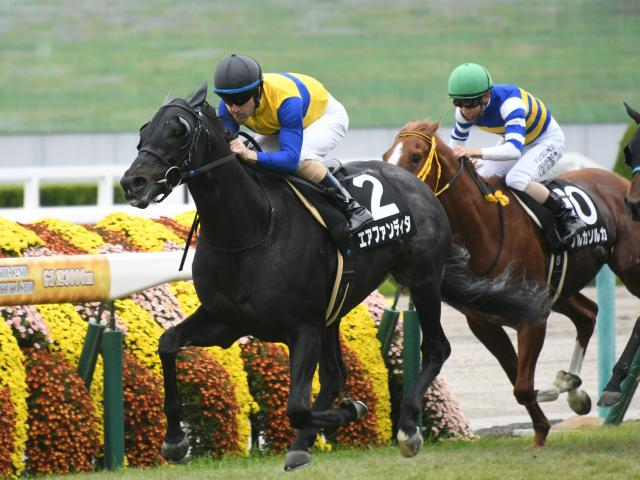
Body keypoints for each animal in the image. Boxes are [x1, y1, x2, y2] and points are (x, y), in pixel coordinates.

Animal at [120, 82, 550, 467]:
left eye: (178, 130)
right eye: (143, 129)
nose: (132, 182)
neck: (251, 229)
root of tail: (418, 185)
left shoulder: (303, 327)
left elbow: (296, 406)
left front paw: (353, 411)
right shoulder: (226, 321)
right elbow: (167, 344)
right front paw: (175, 441)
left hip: (423, 279)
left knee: (435, 348)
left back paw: (407, 429)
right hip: (338, 307)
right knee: (334, 375)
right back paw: (302, 446)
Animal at [383, 119, 640, 446]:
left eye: (415, 157)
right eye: (386, 154)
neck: (485, 229)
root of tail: (620, 183)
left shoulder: (533, 317)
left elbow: (523, 386)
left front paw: (559, 393)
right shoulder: (484, 323)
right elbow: (517, 378)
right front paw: (549, 420)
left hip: (629, 269)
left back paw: (610, 387)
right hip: (560, 290)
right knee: (588, 314)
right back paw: (579, 388)